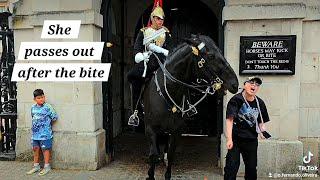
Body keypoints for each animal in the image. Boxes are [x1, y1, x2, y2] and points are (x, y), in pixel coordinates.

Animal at [142, 34, 238, 179]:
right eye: (210, 55)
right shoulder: (150, 128)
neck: (168, 92)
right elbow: (153, 155)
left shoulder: (176, 131)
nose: (235, 84)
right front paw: (150, 173)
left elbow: (171, 156)